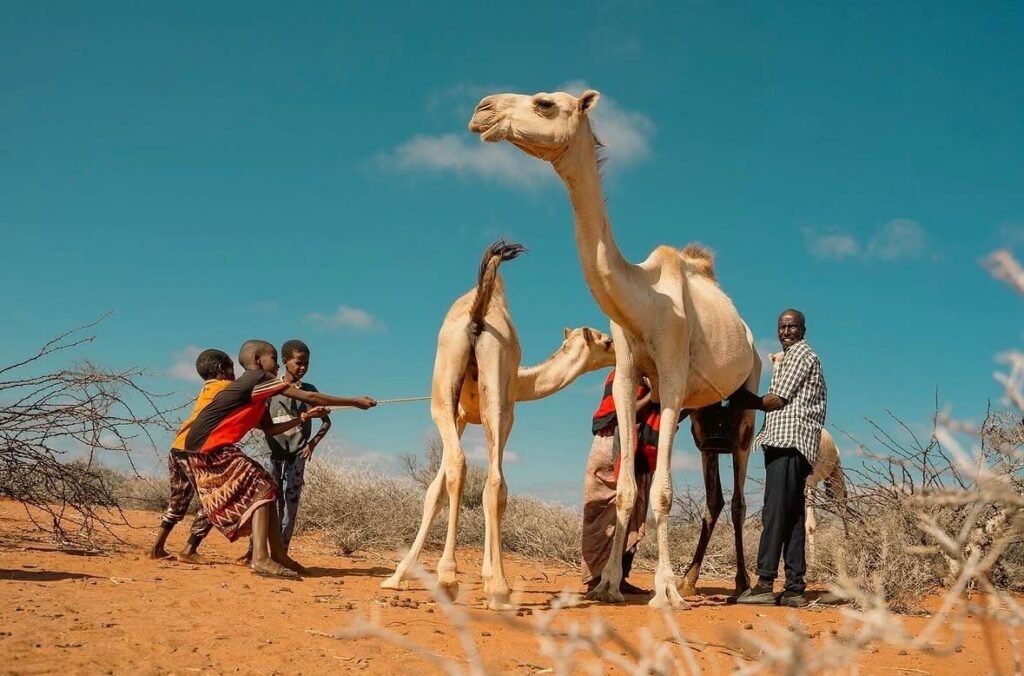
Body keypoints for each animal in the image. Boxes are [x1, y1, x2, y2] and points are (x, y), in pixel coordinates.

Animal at [381, 240, 616, 610]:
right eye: (606, 341)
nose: (621, 348)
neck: (523, 381)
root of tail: (478, 316)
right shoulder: (487, 412)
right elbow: (458, 489)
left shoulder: (460, 416)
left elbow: (436, 489)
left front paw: (398, 577)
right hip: (490, 403)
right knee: (492, 481)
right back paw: (487, 588)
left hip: (451, 397)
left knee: (467, 469)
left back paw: (454, 579)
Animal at [470, 90, 758, 608]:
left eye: (544, 103)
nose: (482, 109)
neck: (645, 299)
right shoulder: (627, 375)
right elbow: (626, 489)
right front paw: (607, 585)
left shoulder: (672, 376)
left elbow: (661, 491)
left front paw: (666, 591)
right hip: (705, 418)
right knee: (716, 492)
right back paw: (694, 580)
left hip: (748, 393)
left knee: (742, 492)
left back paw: (739, 585)